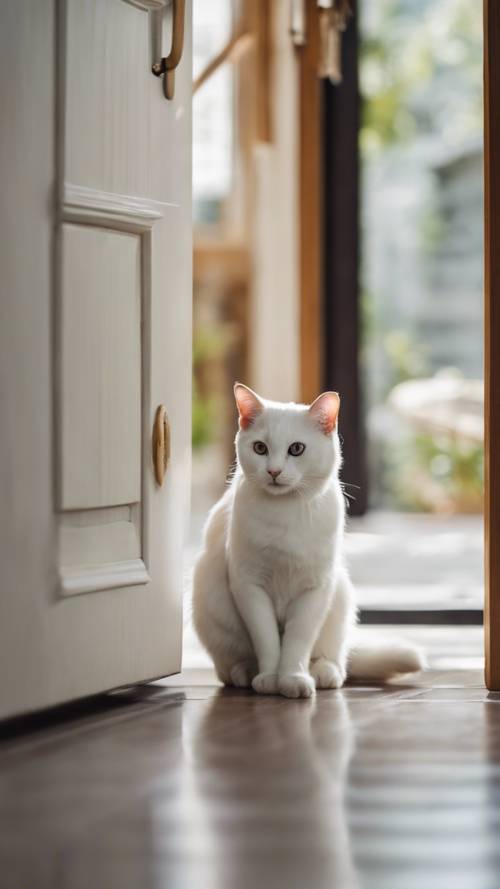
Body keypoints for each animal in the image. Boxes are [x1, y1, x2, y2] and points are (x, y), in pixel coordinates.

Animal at [191, 386, 422, 696]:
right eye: (260, 448)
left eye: (296, 449)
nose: (273, 471)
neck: (285, 513)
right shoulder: (250, 586)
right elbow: (267, 640)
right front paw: (269, 679)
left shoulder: (315, 588)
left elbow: (298, 641)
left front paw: (293, 678)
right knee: (227, 666)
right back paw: (246, 672)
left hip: (340, 595)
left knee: (336, 660)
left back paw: (323, 673)